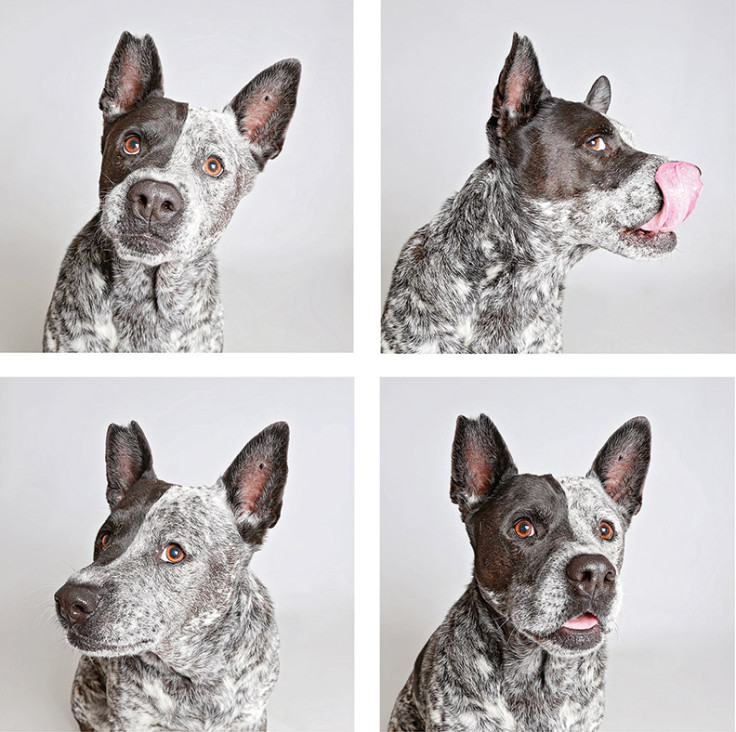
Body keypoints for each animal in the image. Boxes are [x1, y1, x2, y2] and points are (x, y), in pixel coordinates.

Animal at [53, 418, 288, 732]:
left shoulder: (250, 718)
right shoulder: (130, 720)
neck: (194, 673)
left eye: (174, 552)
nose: (70, 601)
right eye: (105, 538)